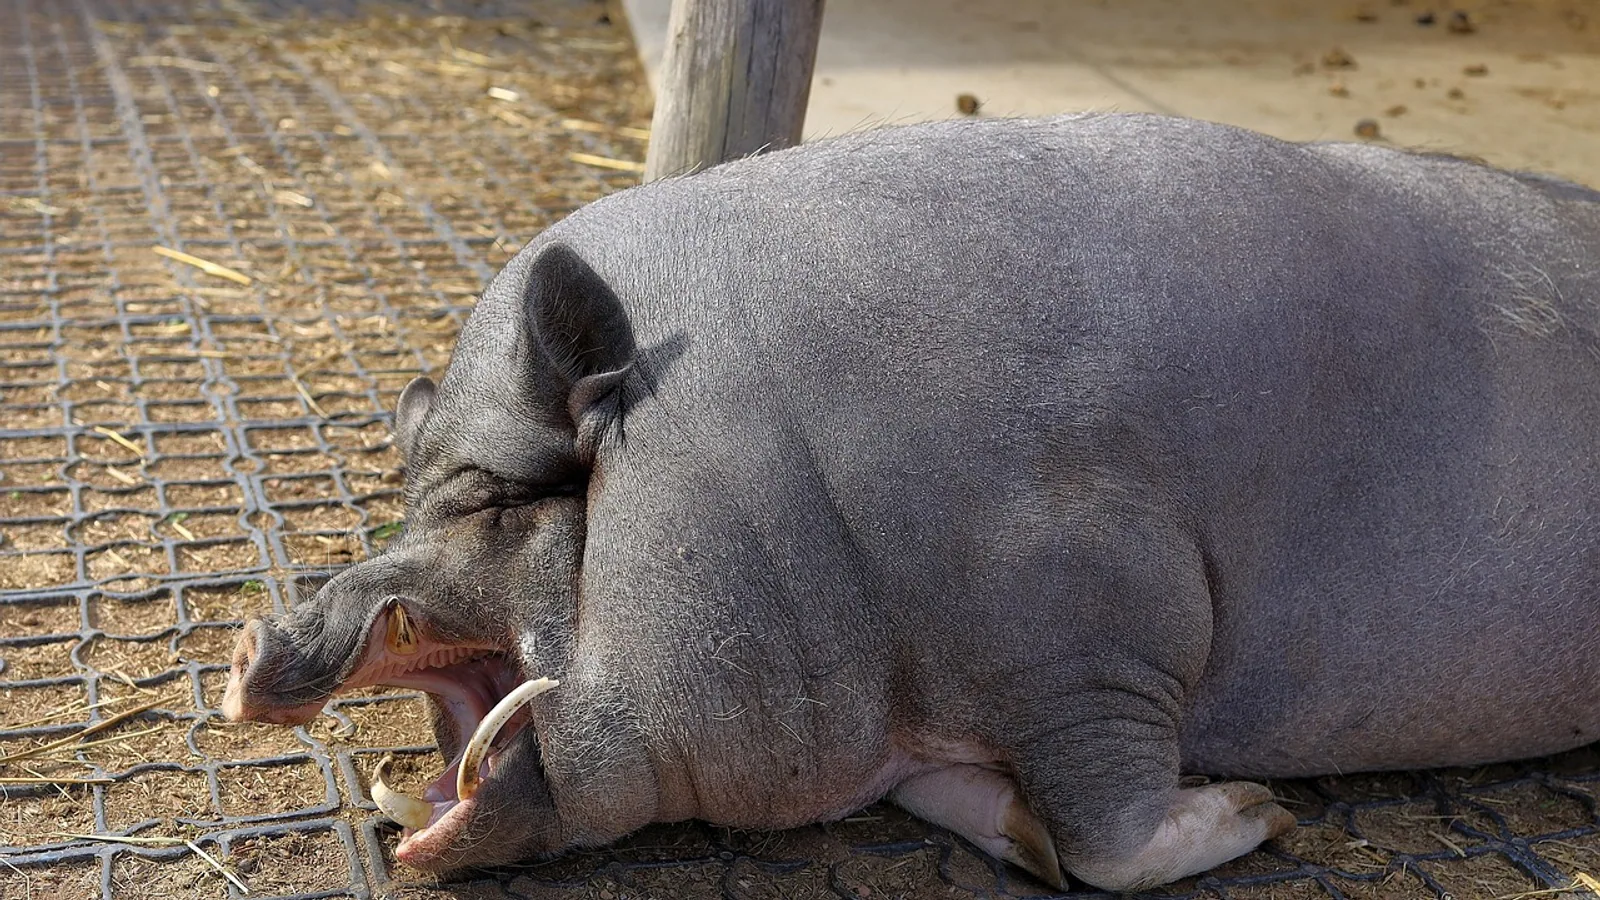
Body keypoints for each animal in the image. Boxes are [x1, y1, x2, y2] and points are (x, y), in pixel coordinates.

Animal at [221, 113, 1600, 892]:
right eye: (411, 496)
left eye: (492, 504)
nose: (258, 640)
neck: (789, 493)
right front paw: (1017, 834)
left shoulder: (1102, 615)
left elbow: (1108, 833)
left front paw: (1257, 816)